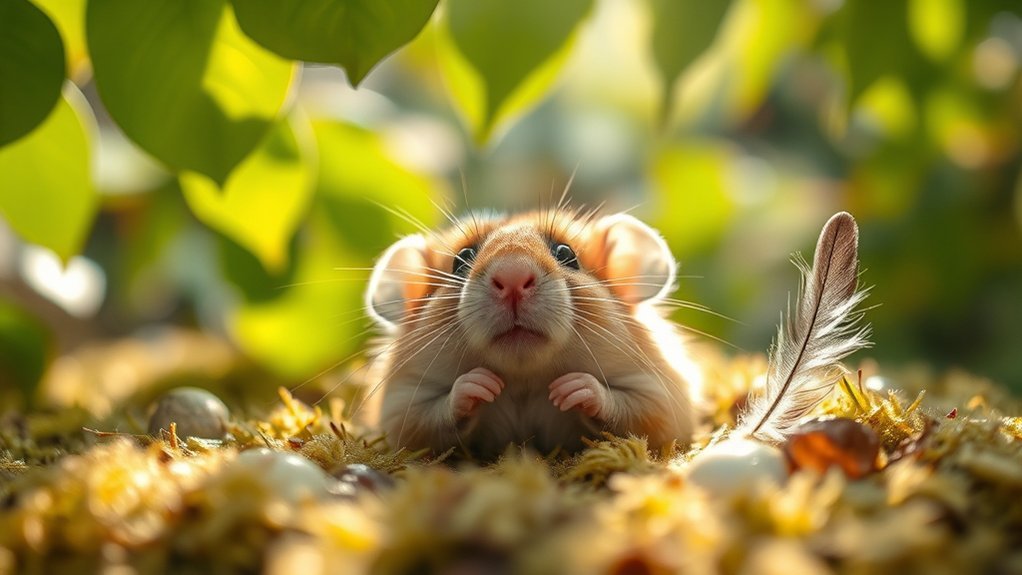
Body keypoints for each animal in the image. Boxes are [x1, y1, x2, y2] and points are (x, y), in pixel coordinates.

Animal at [363, 207, 703, 460]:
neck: (525, 380)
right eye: (461, 261)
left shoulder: (663, 397)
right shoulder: (401, 405)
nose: (512, 276)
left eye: (566, 253)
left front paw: (571, 388)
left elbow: (633, 412)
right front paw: (480, 383)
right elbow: (430, 418)